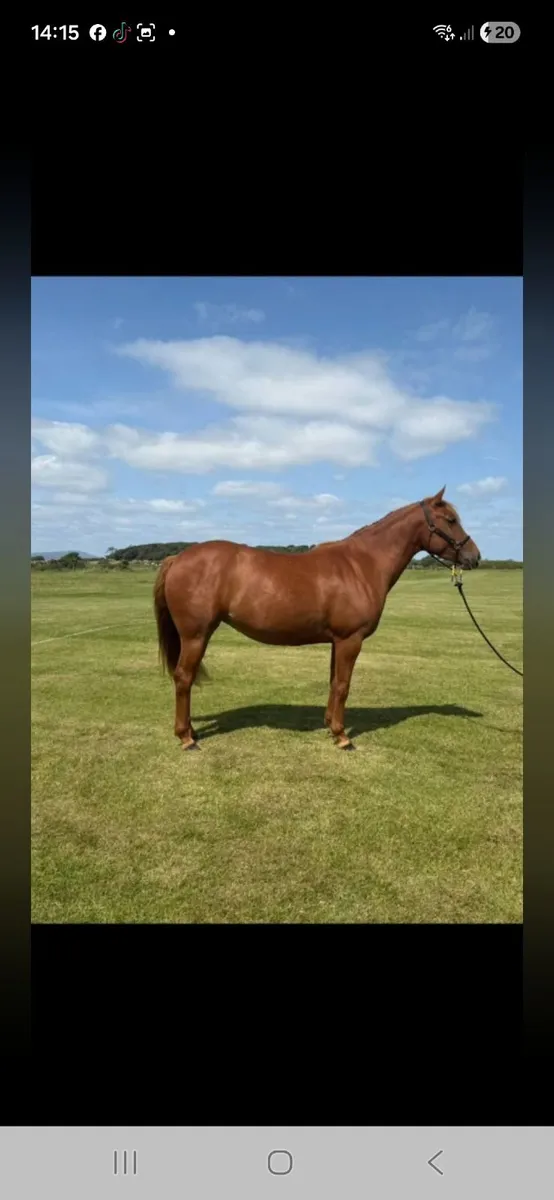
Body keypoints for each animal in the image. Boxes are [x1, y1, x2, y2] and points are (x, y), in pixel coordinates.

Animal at [153, 487, 480, 752]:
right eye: (450, 520)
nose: (474, 557)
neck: (362, 564)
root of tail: (177, 558)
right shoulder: (351, 640)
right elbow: (344, 685)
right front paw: (343, 737)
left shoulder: (338, 641)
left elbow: (334, 682)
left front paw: (330, 726)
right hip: (196, 636)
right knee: (183, 678)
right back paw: (186, 738)